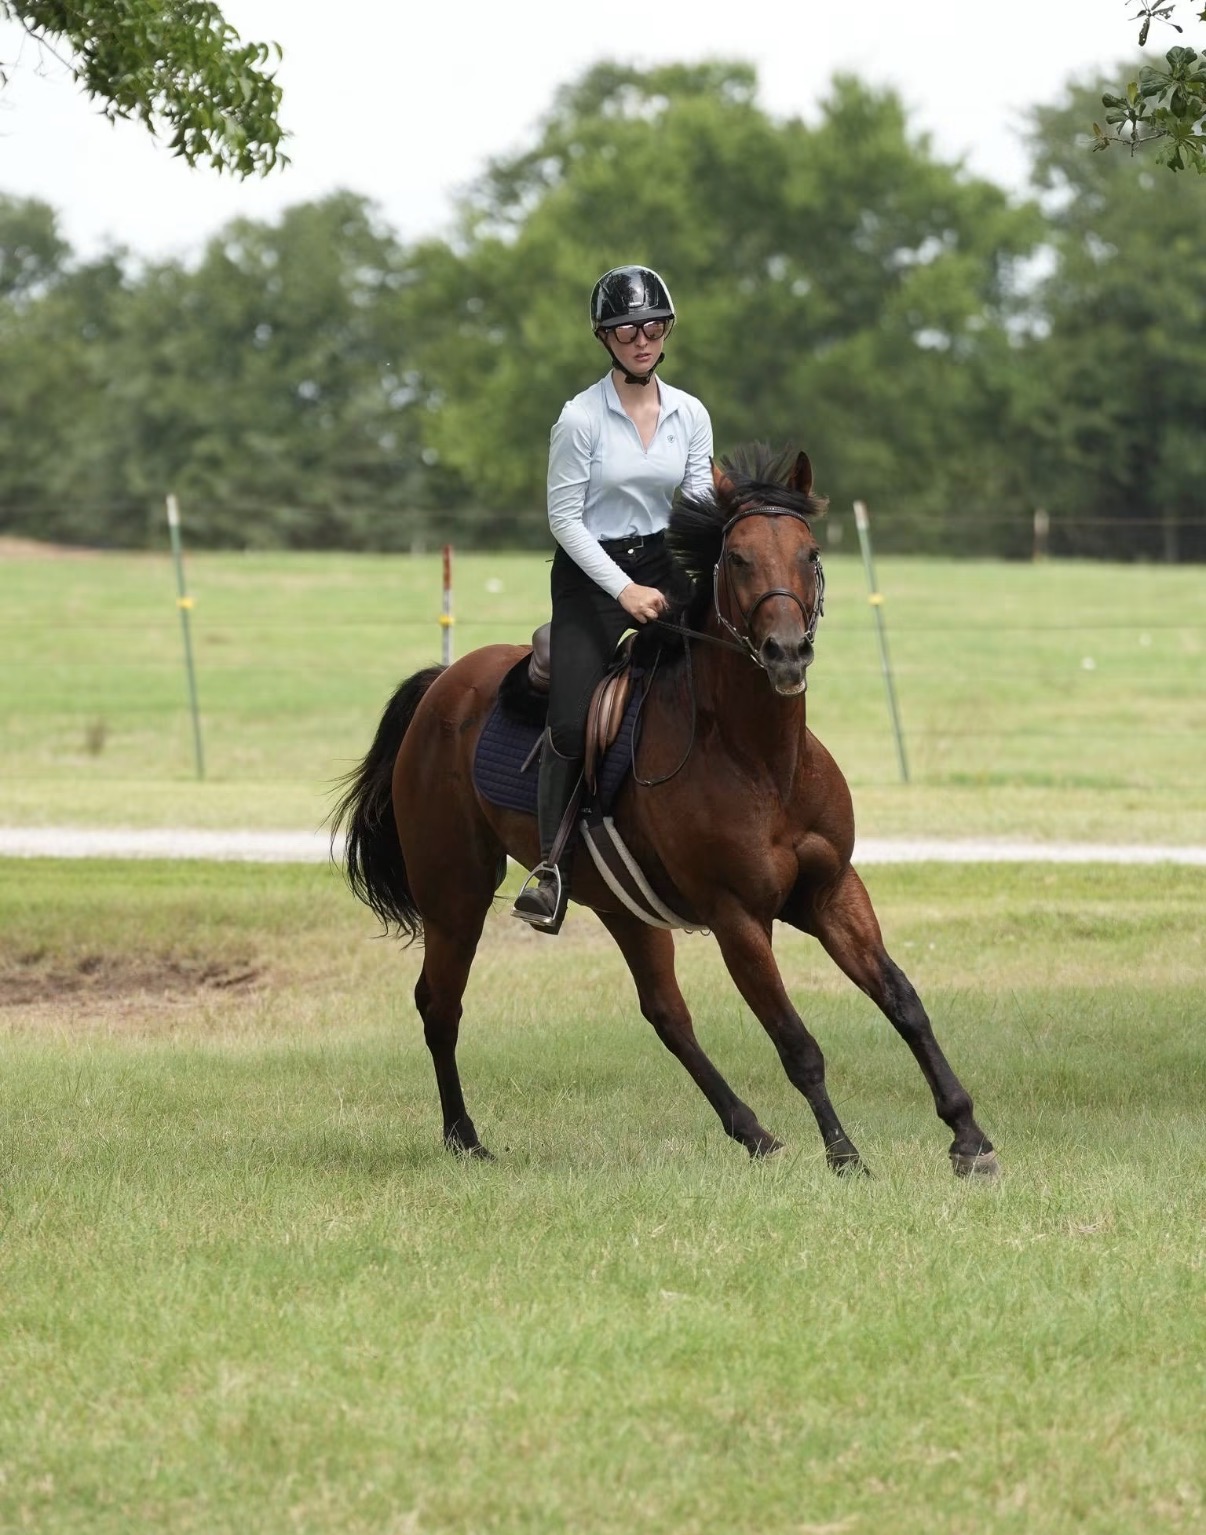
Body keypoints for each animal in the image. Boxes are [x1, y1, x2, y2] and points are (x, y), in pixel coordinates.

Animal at [332, 446, 999, 1179]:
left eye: (811, 552)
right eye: (736, 557)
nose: (787, 653)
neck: (760, 758)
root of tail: (441, 687)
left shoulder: (831, 890)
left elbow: (904, 1003)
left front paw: (968, 1136)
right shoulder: (738, 917)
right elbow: (796, 1041)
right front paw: (845, 1153)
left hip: (623, 907)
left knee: (666, 1015)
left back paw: (753, 1132)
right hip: (456, 894)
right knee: (439, 1004)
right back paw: (463, 1137)